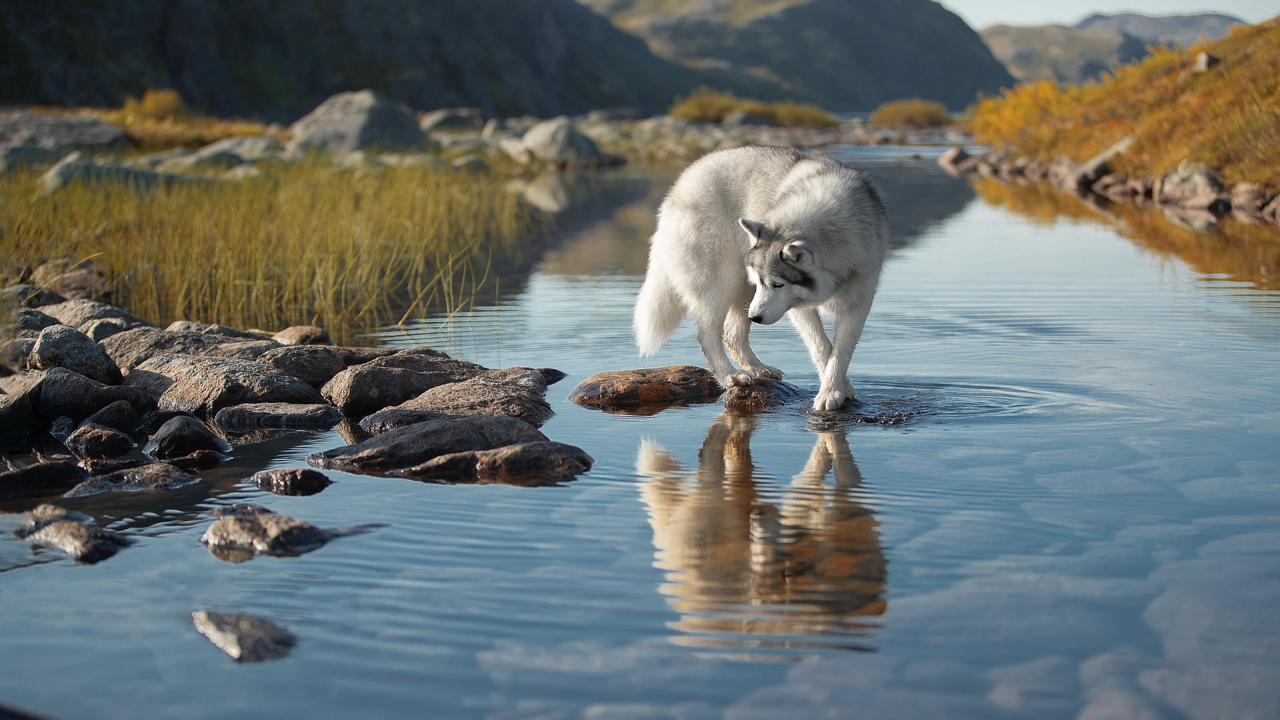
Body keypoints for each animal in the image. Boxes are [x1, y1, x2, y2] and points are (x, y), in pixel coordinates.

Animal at [632, 144, 890, 409]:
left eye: (778, 284)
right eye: (766, 283)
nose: (755, 317)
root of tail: (682, 181)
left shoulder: (858, 302)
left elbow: (840, 352)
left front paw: (836, 389)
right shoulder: (799, 307)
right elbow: (821, 347)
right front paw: (833, 392)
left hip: (742, 290)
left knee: (732, 333)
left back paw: (758, 369)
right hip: (721, 286)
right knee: (708, 334)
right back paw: (730, 376)